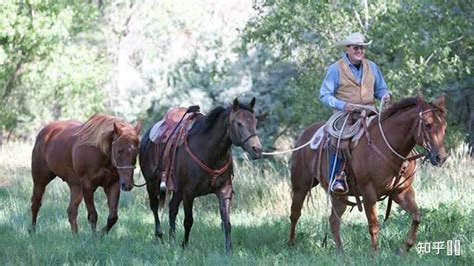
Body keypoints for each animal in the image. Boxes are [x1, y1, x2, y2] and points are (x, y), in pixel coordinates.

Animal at [139, 97, 262, 254]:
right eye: (238, 123)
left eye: (255, 121)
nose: (257, 149)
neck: (209, 152)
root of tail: (147, 136)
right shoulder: (189, 193)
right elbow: (188, 221)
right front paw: (185, 246)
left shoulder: (224, 191)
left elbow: (226, 223)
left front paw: (229, 250)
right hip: (152, 183)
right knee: (155, 207)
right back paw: (159, 236)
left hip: (177, 190)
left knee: (172, 209)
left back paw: (172, 240)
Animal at [288, 95, 448, 254]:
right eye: (427, 124)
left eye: (444, 126)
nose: (441, 157)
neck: (388, 147)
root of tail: (305, 134)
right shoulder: (368, 194)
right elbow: (374, 225)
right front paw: (374, 254)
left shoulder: (401, 192)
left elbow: (416, 216)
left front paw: (404, 248)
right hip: (300, 186)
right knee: (295, 214)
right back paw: (291, 244)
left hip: (339, 196)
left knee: (334, 221)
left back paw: (341, 252)